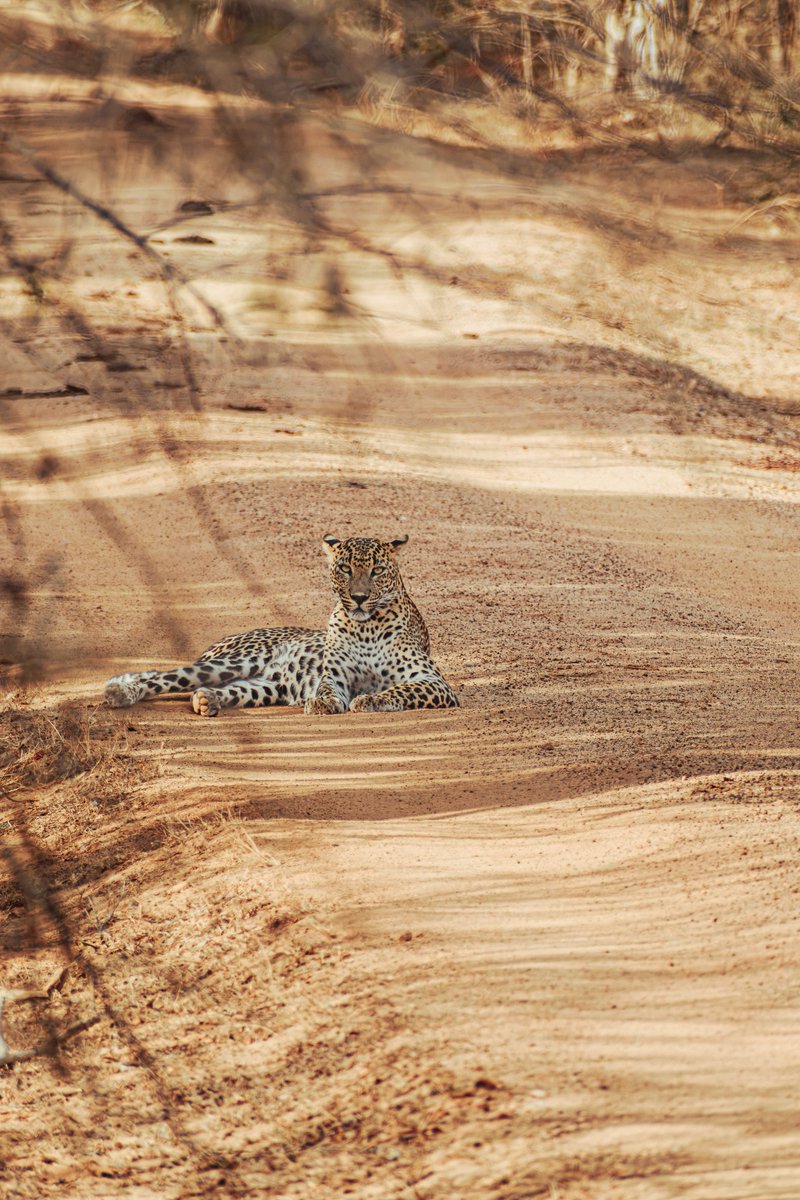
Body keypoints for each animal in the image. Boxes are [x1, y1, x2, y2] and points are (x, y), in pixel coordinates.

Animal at [103, 534, 459, 717]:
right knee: (160, 677)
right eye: (345, 568)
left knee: (216, 689)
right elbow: (328, 688)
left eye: (377, 570)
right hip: (237, 660)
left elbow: (402, 688)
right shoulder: (334, 676)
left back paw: (207, 700)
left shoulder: (434, 682)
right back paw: (120, 691)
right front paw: (323, 702)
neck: (365, 629)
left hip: (266, 686)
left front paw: (371, 700)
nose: (358, 598)